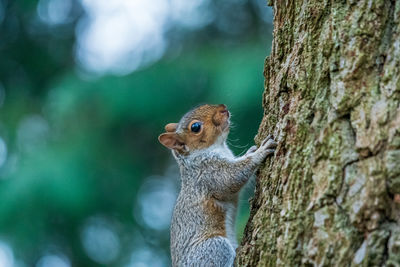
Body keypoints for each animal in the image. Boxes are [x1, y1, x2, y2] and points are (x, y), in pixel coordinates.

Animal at [158, 104, 276, 267]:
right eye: (195, 127)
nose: (223, 108)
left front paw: (250, 151)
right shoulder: (208, 172)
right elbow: (232, 177)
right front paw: (259, 152)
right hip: (214, 248)